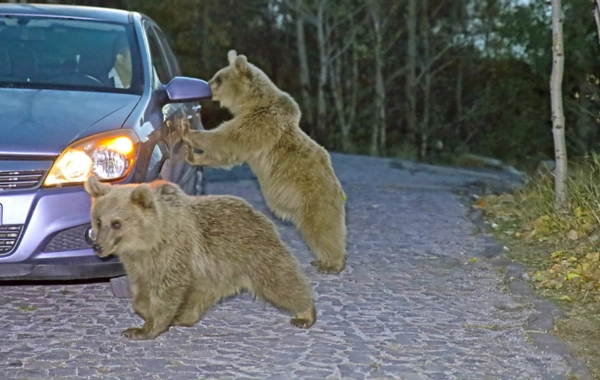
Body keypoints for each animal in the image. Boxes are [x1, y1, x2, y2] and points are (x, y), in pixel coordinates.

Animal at [86, 177, 318, 340]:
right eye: (98, 220)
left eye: (116, 223)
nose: (97, 246)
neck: (149, 241)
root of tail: (259, 214)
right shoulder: (138, 264)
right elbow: (141, 291)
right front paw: (146, 312)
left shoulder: (174, 253)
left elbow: (167, 291)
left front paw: (144, 328)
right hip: (212, 272)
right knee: (199, 296)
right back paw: (183, 316)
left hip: (253, 252)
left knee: (280, 281)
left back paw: (305, 313)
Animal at [179, 49, 346, 274]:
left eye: (219, 78)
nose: (206, 87)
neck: (250, 103)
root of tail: (338, 189)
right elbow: (226, 154)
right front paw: (193, 155)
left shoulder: (258, 125)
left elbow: (225, 139)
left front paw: (187, 130)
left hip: (315, 196)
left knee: (322, 228)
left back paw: (332, 263)